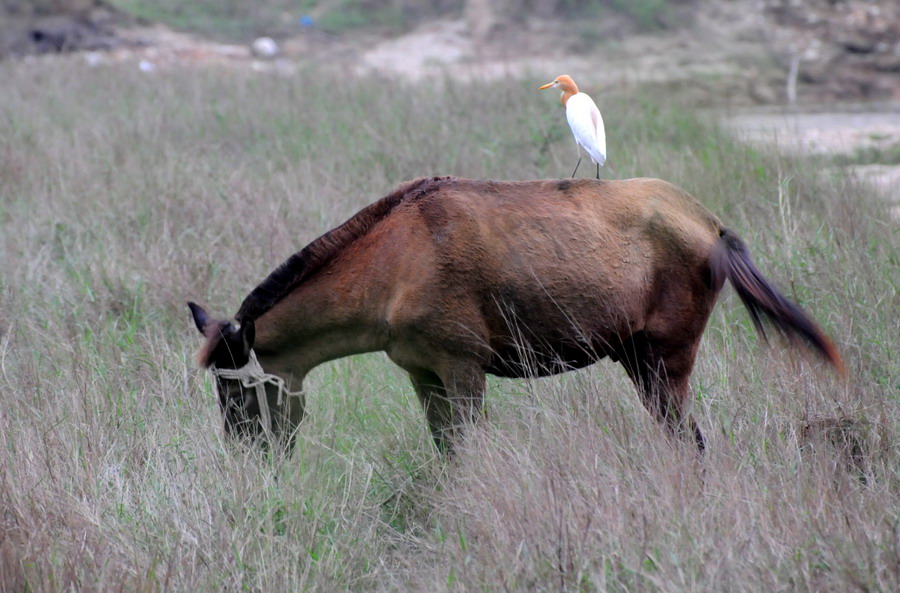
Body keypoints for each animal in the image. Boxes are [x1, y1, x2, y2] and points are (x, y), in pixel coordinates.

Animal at [186, 173, 840, 450]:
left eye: (238, 390)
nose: (248, 456)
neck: (395, 258)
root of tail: (710, 224)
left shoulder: (464, 371)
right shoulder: (424, 375)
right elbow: (447, 454)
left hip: (664, 365)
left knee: (692, 443)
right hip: (637, 361)